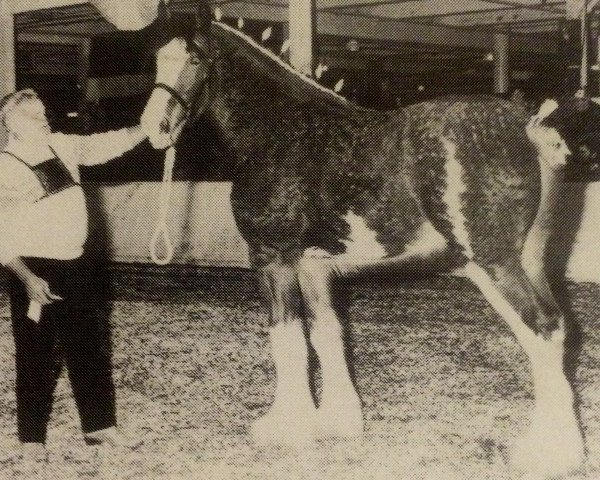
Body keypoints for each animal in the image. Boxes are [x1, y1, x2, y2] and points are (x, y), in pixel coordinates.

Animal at [139, 2, 600, 476]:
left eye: (195, 59)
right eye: (156, 60)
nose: (155, 127)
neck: (280, 132)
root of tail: (527, 128)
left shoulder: (273, 258)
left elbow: (286, 337)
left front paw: (285, 427)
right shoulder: (314, 265)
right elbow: (326, 334)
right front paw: (337, 421)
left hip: (493, 264)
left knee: (541, 330)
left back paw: (548, 453)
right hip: (528, 261)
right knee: (555, 330)